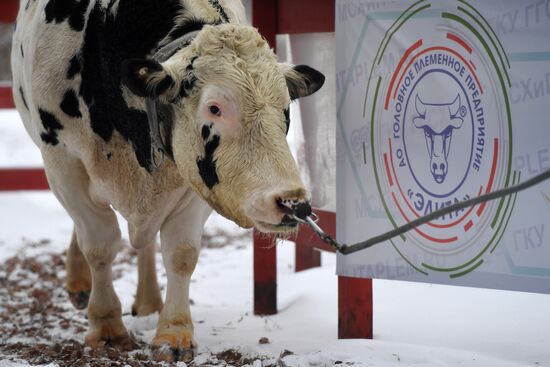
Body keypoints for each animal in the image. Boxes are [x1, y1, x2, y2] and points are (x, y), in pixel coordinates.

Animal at [10, 0, 326, 362]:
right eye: (214, 108)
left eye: (285, 109)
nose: (293, 202)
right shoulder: (63, 162)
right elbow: (100, 244)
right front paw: (106, 325)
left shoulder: (193, 181)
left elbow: (180, 253)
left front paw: (173, 333)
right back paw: (80, 281)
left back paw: (148, 300)